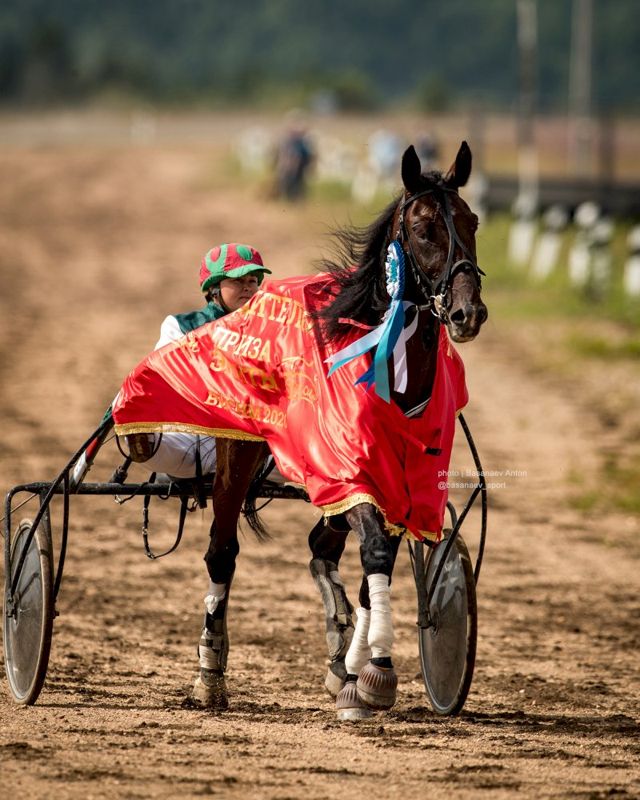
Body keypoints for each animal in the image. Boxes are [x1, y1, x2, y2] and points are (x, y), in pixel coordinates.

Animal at [190, 141, 488, 718]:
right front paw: (377, 673)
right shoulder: (350, 472)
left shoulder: (402, 482)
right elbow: (374, 553)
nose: (469, 312)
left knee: (320, 549)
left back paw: (337, 647)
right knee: (222, 550)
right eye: (424, 229)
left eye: (473, 221)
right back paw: (210, 671)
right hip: (238, 454)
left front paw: (356, 672)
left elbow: (379, 567)